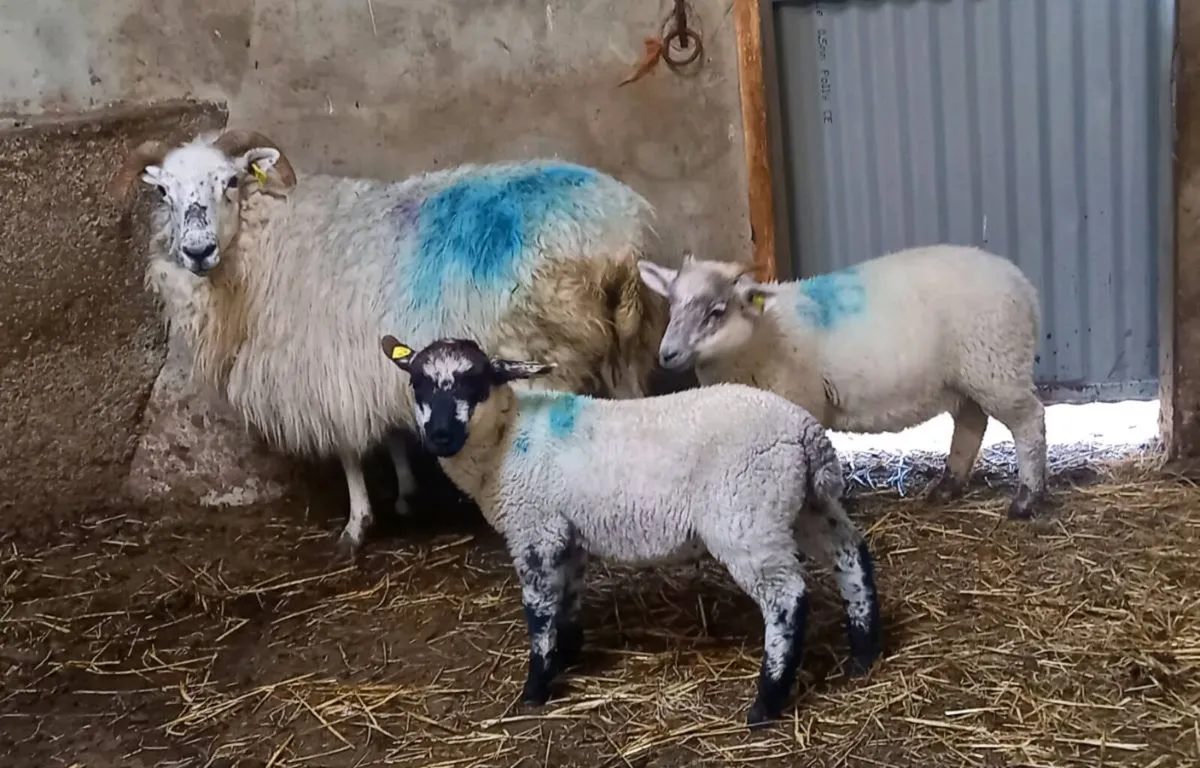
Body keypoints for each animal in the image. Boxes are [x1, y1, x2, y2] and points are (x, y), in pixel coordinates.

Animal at [106, 129, 668, 559]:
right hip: (630, 346)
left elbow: (348, 452)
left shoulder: (323, 368)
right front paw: (406, 495)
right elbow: (393, 433)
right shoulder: (373, 361)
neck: (263, 242)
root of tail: (618, 242)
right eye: (163, 193)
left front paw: (356, 526)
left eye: (230, 181)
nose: (196, 250)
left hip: (545, 355)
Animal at [378, 334, 883, 729]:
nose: (440, 435)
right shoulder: (567, 531)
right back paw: (863, 654)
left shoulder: (535, 529)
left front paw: (536, 687)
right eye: (417, 382)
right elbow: (567, 598)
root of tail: (804, 432)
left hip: (747, 519)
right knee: (851, 555)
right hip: (804, 506)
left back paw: (767, 702)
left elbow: (539, 612)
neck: (505, 440)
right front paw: (567, 654)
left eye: (476, 381)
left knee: (786, 599)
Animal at [636, 245, 1048, 519]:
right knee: (971, 422)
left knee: (1029, 422)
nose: (667, 354)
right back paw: (947, 486)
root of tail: (1023, 284)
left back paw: (1026, 498)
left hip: (997, 366)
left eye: (716, 311)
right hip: (968, 376)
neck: (765, 334)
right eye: (671, 305)